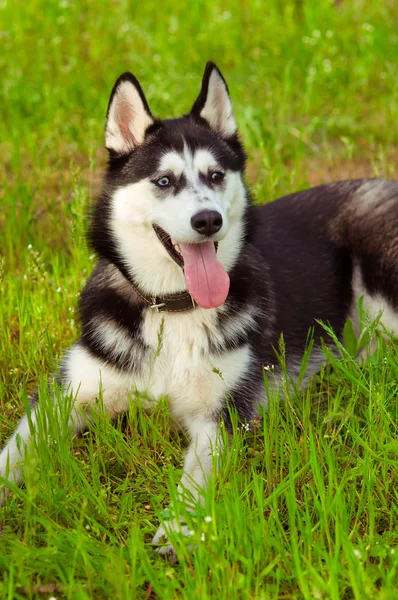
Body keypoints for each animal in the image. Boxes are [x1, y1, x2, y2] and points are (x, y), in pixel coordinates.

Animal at [0, 62, 398, 564]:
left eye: (215, 175)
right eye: (163, 181)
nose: (208, 220)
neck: (174, 309)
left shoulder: (221, 416)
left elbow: (195, 478)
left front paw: (179, 528)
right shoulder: (67, 393)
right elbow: (14, 450)